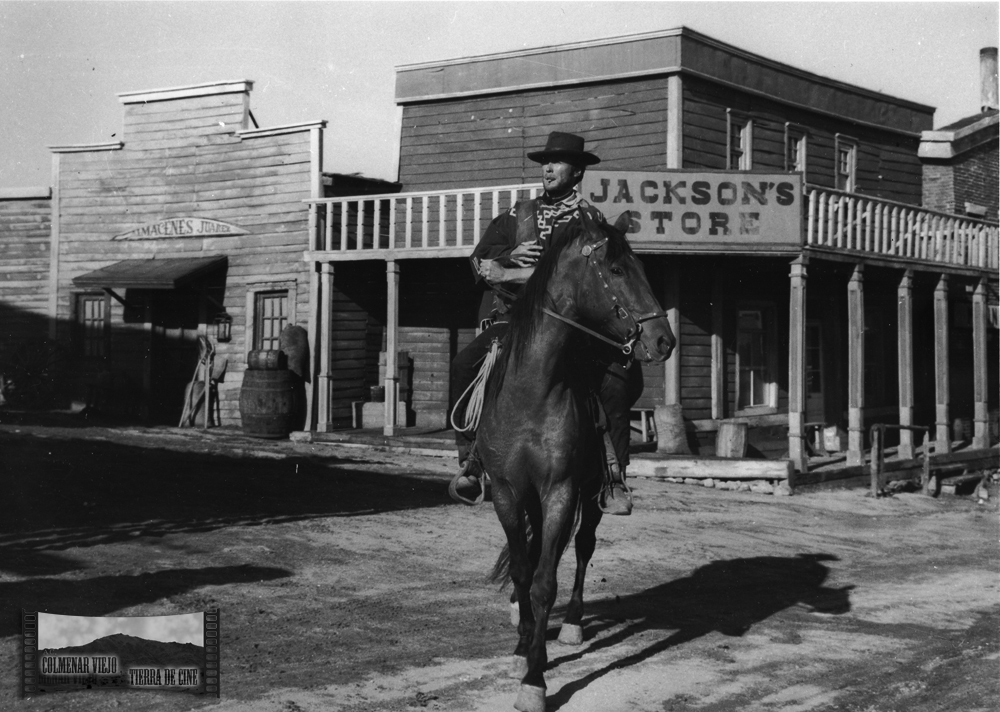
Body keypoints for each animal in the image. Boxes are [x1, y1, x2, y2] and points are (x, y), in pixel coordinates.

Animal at [478, 209, 680, 712]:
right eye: (616, 270)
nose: (663, 340)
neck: (531, 392)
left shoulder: (561, 490)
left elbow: (546, 581)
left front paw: (534, 680)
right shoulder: (508, 492)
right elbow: (523, 569)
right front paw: (523, 647)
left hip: (592, 492)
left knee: (585, 546)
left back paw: (570, 625)